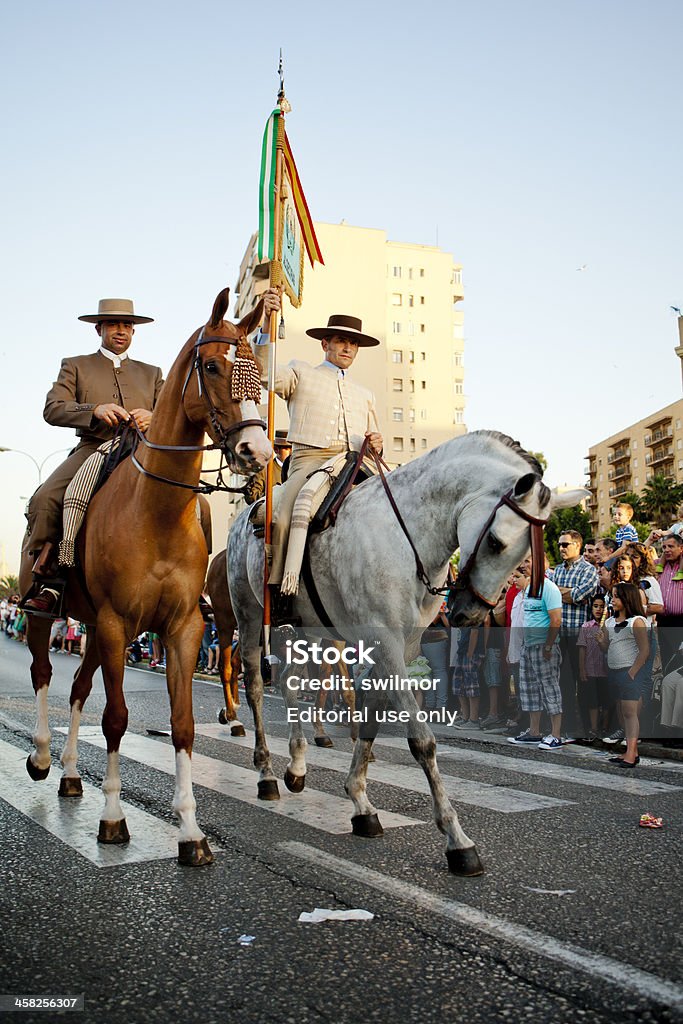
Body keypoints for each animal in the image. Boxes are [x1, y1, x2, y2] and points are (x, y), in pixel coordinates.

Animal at [19, 288, 270, 864]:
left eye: (260, 368)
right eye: (212, 365)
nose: (257, 452)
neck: (157, 510)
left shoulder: (183, 629)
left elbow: (182, 725)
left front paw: (191, 832)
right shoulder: (116, 623)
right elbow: (115, 718)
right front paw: (113, 818)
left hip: (95, 628)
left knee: (77, 689)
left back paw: (70, 774)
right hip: (50, 615)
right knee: (44, 674)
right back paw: (42, 759)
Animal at [227, 428, 585, 876]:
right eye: (496, 541)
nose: (468, 613)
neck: (407, 536)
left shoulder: (399, 646)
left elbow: (371, 720)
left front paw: (360, 803)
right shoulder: (385, 643)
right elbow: (422, 741)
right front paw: (456, 839)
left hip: (307, 629)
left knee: (291, 683)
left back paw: (296, 766)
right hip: (249, 616)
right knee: (257, 687)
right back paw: (267, 774)